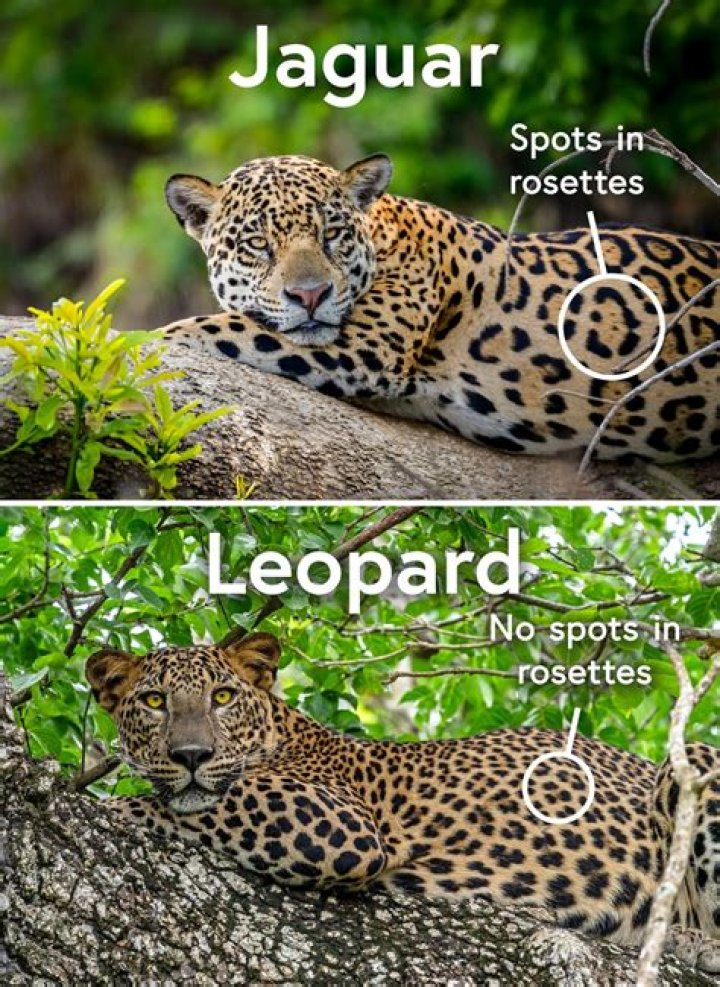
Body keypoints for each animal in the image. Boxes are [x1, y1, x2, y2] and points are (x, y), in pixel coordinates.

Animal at [85, 628, 720, 973]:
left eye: (222, 697)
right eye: (153, 701)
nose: (191, 754)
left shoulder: (338, 825)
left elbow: (197, 802)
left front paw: (115, 803)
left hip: (697, 759)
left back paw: (691, 939)